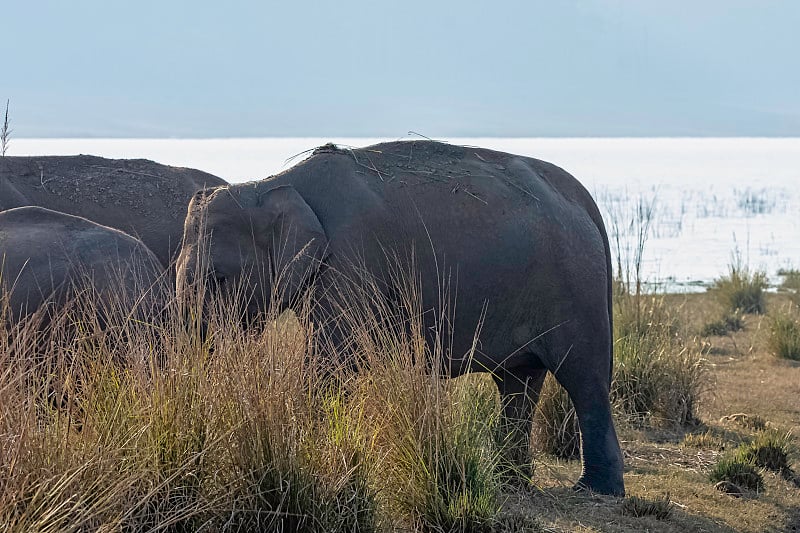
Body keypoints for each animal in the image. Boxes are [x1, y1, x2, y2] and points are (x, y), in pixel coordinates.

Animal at [175, 140, 624, 494]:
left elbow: (332, 363)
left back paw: (594, 491)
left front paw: (307, 455)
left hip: (576, 288)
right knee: (518, 383)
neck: (267, 184)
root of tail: (586, 201)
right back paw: (510, 484)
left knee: (583, 378)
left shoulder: (351, 262)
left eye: (217, 277)